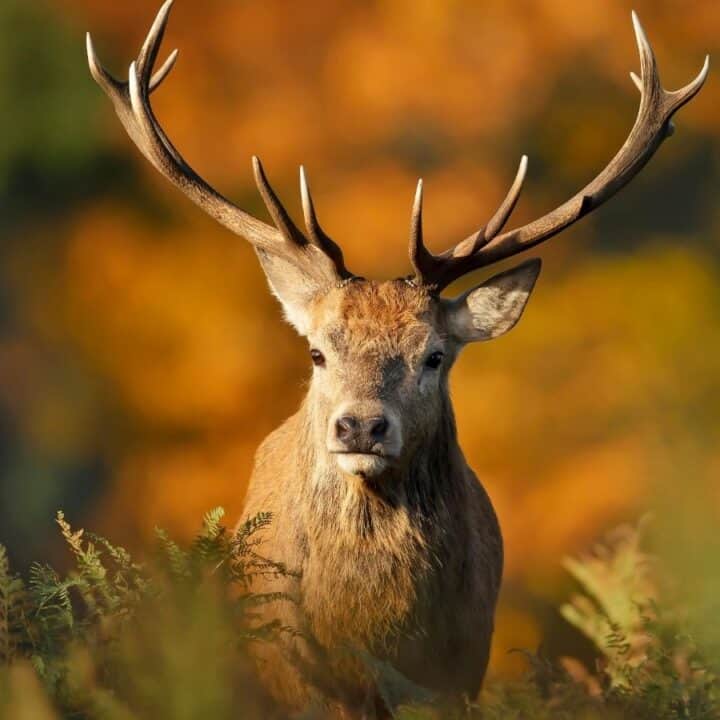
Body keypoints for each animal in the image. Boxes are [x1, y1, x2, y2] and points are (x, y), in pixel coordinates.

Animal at [86, 2, 708, 716]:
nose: (360, 425)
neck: (372, 631)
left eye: (434, 356)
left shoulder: (463, 664)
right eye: (317, 351)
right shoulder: (298, 670)